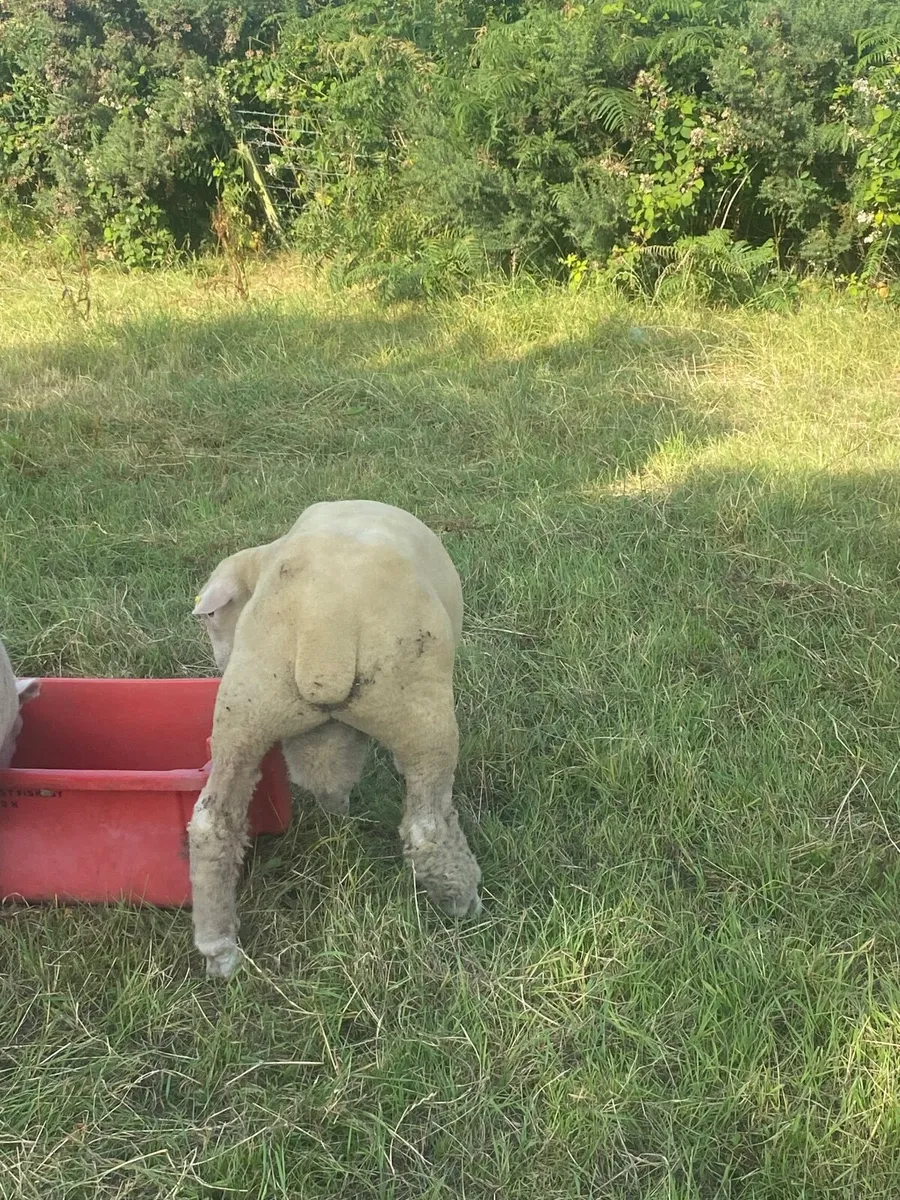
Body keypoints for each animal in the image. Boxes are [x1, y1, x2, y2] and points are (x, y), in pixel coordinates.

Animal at [189, 499, 482, 978]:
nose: (218, 660)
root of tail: (324, 631)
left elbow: (331, 773)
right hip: (419, 710)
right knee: (427, 828)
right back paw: (463, 902)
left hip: (246, 708)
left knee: (213, 824)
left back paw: (219, 948)